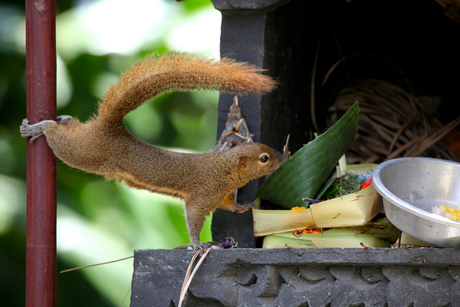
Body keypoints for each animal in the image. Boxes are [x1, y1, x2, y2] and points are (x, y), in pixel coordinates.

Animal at [22, 53, 288, 254]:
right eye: (264, 158)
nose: (284, 156)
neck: (225, 168)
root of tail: (110, 129)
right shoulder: (202, 194)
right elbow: (194, 217)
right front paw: (198, 245)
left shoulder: (221, 195)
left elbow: (229, 205)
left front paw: (243, 206)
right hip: (84, 152)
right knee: (56, 136)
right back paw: (38, 127)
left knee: (70, 126)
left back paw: (64, 118)